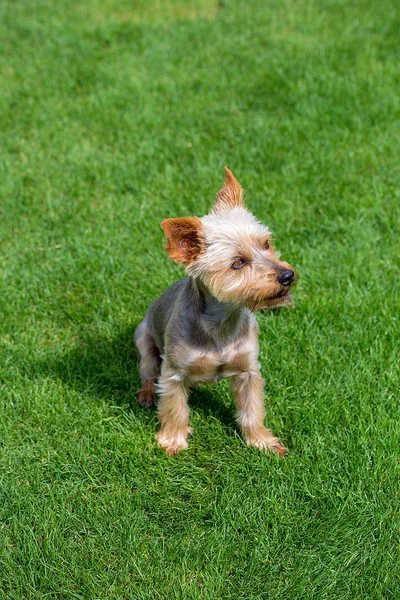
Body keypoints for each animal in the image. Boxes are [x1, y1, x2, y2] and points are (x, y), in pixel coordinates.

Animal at [136, 168, 296, 454]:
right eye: (238, 263)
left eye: (266, 244)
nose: (287, 276)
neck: (221, 322)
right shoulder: (173, 373)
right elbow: (175, 409)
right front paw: (173, 441)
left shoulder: (249, 370)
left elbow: (252, 409)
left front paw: (261, 441)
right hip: (142, 339)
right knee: (147, 371)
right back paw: (146, 393)